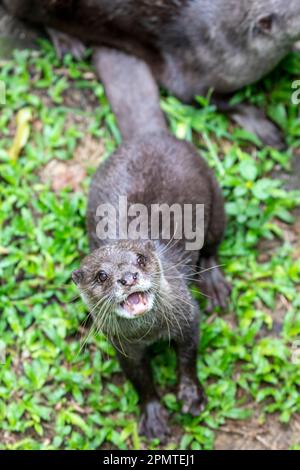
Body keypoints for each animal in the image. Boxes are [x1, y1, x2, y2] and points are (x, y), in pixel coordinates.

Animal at [71, 48, 231, 440]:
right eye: (100, 276)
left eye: (141, 259)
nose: (127, 277)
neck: (151, 332)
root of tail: (151, 132)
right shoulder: (123, 347)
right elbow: (140, 381)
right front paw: (155, 416)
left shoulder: (188, 315)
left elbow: (188, 357)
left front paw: (190, 395)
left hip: (215, 196)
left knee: (212, 246)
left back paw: (215, 285)